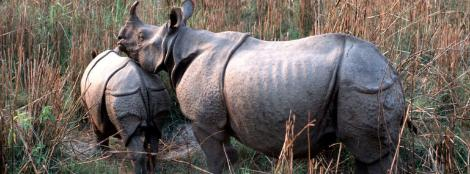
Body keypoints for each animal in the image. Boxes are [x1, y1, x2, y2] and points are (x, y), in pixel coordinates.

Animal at [115, 1, 406, 173]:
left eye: (140, 37)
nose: (118, 39)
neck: (176, 43)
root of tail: (390, 70)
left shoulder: (203, 121)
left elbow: (215, 159)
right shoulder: (215, 119)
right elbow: (228, 156)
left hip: (363, 86)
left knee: (371, 155)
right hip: (368, 83)